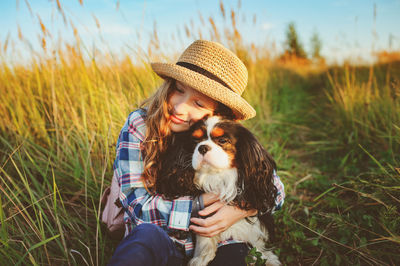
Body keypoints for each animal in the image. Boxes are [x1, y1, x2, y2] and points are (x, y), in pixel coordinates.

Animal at [155, 116, 280, 266]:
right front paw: (202, 257)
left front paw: (267, 257)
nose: (202, 147)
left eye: (222, 140)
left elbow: (256, 236)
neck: (218, 177)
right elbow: (204, 234)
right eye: (195, 141)